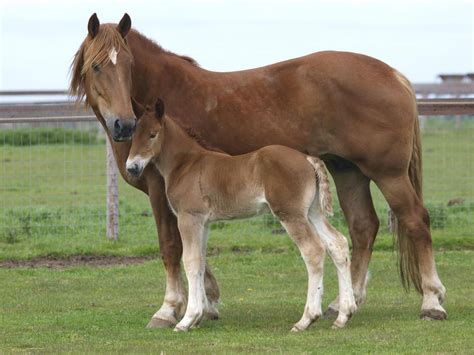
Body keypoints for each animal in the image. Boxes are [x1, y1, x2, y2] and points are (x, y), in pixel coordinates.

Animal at [126, 99, 356, 330]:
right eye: (133, 135)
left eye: (153, 134)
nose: (132, 167)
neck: (187, 164)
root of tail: (308, 159)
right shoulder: (204, 222)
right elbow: (201, 261)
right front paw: (198, 317)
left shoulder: (188, 218)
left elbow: (191, 261)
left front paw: (187, 320)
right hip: (312, 212)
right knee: (337, 243)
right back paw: (344, 315)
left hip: (291, 214)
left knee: (313, 250)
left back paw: (306, 319)